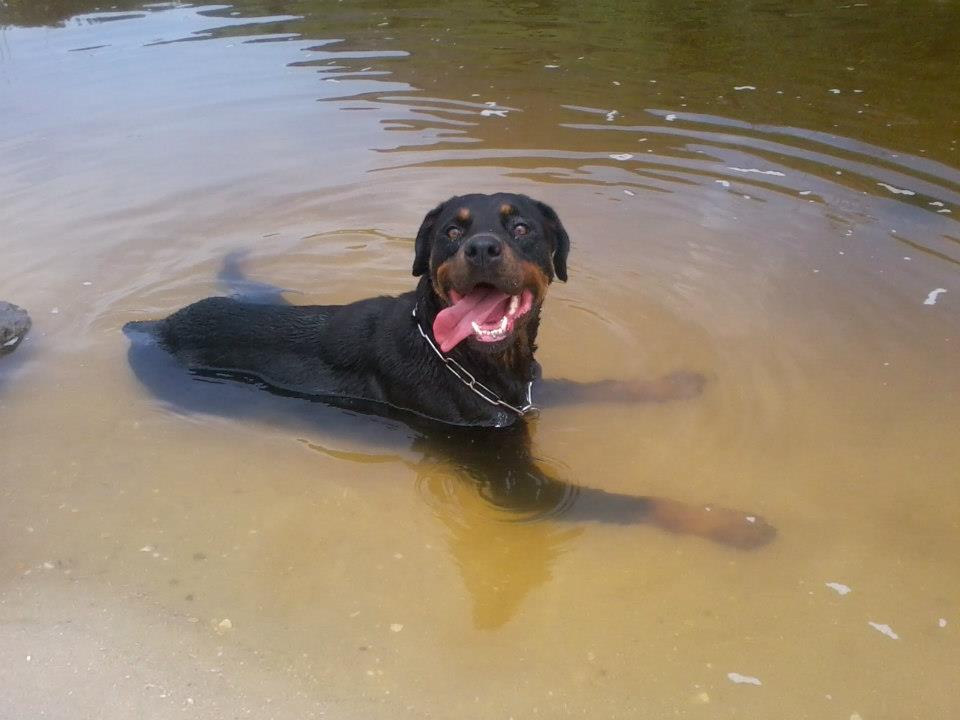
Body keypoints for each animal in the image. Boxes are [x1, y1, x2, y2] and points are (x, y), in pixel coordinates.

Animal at [124, 193, 774, 548]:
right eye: (452, 229)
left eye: (521, 227)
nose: (481, 248)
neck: (469, 359)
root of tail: (152, 326)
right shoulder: (519, 486)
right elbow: (631, 502)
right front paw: (734, 525)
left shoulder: (522, 397)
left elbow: (593, 388)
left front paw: (674, 385)